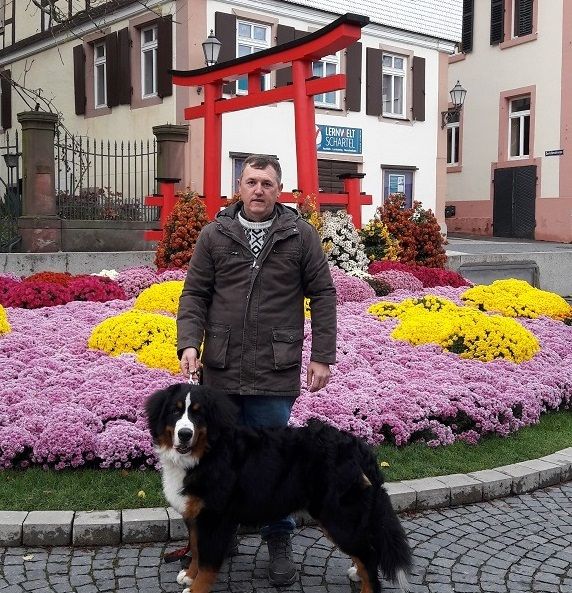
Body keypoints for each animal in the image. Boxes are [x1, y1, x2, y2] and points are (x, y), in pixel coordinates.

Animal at [146, 383, 412, 593]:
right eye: (175, 411)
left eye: (198, 415)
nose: (185, 433)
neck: (205, 454)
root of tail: (359, 447)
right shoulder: (196, 515)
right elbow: (196, 549)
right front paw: (189, 575)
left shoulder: (214, 518)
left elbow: (207, 563)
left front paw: (196, 587)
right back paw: (357, 572)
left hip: (338, 516)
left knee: (369, 554)